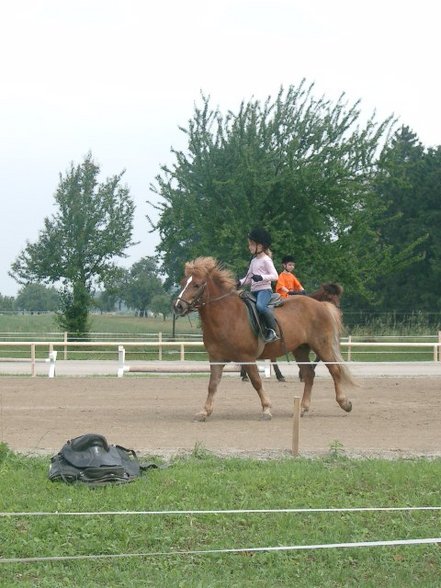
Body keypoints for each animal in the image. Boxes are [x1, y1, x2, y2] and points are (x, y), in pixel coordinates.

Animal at [173, 256, 354, 418]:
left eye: (196, 285)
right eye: (182, 283)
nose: (178, 306)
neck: (226, 315)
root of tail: (321, 305)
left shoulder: (246, 358)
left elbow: (256, 381)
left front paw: (266, 408)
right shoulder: (216, 359)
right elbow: (212, 385)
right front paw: (205, 411)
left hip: (322, 346)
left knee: (335, 371)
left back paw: (344, 403)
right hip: (300, 349)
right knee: (309, 375)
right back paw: (303, 408)